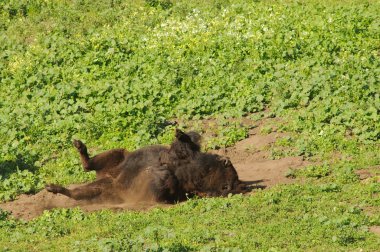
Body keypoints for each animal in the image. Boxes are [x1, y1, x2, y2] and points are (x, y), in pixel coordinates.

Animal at [46, 129, 246, 204]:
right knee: (90, 165)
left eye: (229, 185)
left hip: (107, 189)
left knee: (79, 192)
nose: (228, 187)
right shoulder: (184, 154)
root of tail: (110, 177)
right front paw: (179, 133)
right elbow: (185, 144)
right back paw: (79, 146)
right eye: (229, 172)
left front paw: (164, 174)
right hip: (117, 155)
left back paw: (53, 188)